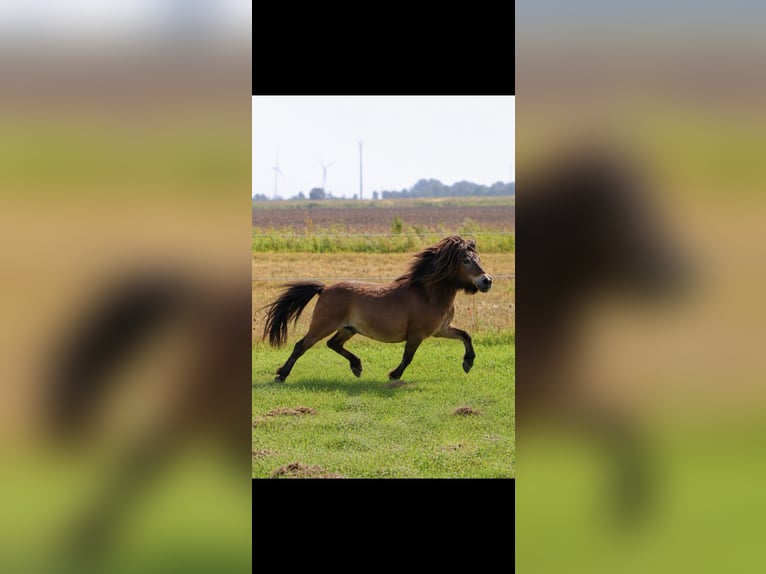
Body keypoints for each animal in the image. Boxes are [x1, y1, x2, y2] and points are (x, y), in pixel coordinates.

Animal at [261, 235, 493, 382]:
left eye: (479, 259)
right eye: (466, 260)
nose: (487, 281)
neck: (428, 294)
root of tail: (325, 288)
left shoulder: (440, 330)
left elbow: (465, 335)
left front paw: (468, 363)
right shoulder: (417, 334)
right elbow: (408, 357)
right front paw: (394, 375)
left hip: (348, 328)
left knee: (333, 344)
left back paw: (356, 366)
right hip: (323, 325)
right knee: (302, 345)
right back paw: (281, 375)